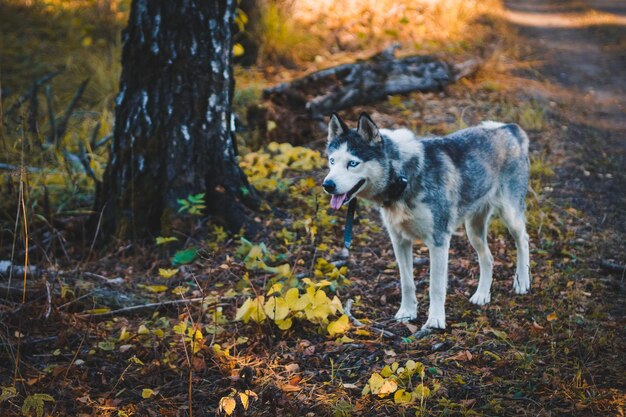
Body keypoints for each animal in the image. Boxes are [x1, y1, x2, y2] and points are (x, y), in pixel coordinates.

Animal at [324, 112, 528, 330]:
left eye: (352, 163)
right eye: (332, 161)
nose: (327, 185)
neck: (403, 176)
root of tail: (508, 127)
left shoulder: (438, 242)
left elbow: (435, 287)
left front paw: (435, 320)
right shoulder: (400, 241)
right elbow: (407, 282)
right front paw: (407, 312)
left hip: (510, 216)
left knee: (523, 240)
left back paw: (523, 282)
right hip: (473, 230)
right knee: (488, 257)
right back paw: (482, 295)